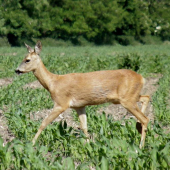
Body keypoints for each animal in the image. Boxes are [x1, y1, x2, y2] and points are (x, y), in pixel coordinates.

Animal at [15, 41, 149, 149]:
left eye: (27, 60)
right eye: (23, 58)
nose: (16, 70)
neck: (53, 83)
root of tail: (142, 78)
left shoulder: (61, 103)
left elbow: (44, 122)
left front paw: (31, 143)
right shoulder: (79, 106)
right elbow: (84, 126)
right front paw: (90, 145)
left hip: (127, 99)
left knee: (145, 118)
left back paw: (140, 146)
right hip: (130, 97)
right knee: (146, 98)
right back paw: (138, 127)